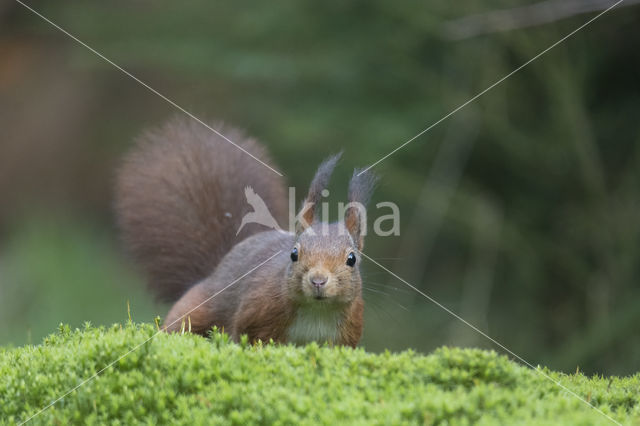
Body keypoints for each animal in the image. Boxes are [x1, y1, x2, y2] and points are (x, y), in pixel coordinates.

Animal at [115, 115, 376, 346]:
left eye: (352, 259)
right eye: (294, 254)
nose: (318, 281)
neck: (317, 311)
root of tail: (216, 269)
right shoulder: (256, 313)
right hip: (196, 307)